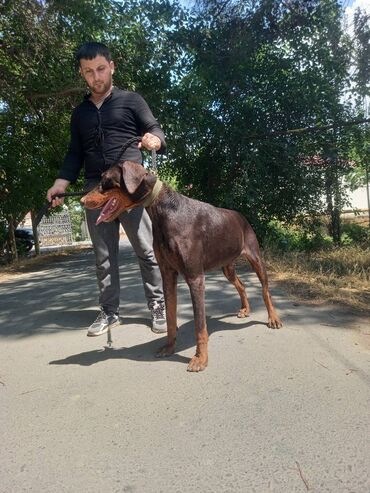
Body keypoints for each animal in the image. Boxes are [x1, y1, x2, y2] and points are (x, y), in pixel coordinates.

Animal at [81, 160, 284, 370]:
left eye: (105, 179)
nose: (81, 201)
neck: (163, 209)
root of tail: (241, 216)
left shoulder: (195, 277)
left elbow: (199, 325)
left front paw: (200, 358)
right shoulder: (168, 274)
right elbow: (171, 317)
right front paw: (169, 347)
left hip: (255, 257)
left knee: (265, 290)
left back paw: (273, 318)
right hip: (227, 265)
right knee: (241, 285)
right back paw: (245, 309)